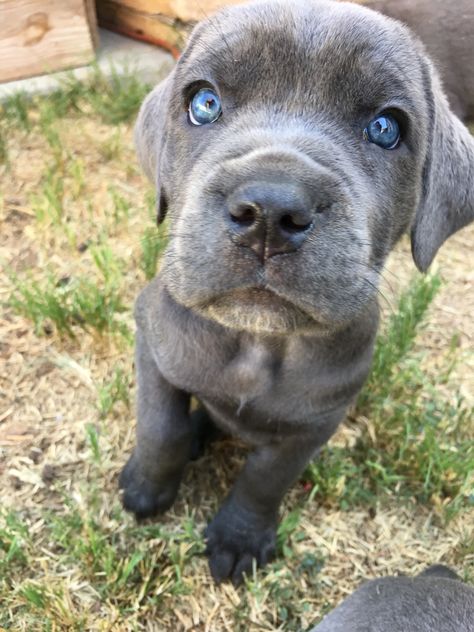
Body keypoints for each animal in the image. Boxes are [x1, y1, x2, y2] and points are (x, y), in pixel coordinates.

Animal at [119, 0, 474, 584]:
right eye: (204, 103)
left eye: (385, 128)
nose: (269, 210)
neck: (257, 343)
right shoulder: (153, 341)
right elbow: (160, 425)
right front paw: (147, 487)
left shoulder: (314, 423)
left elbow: (267, 478)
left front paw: (240, 538)